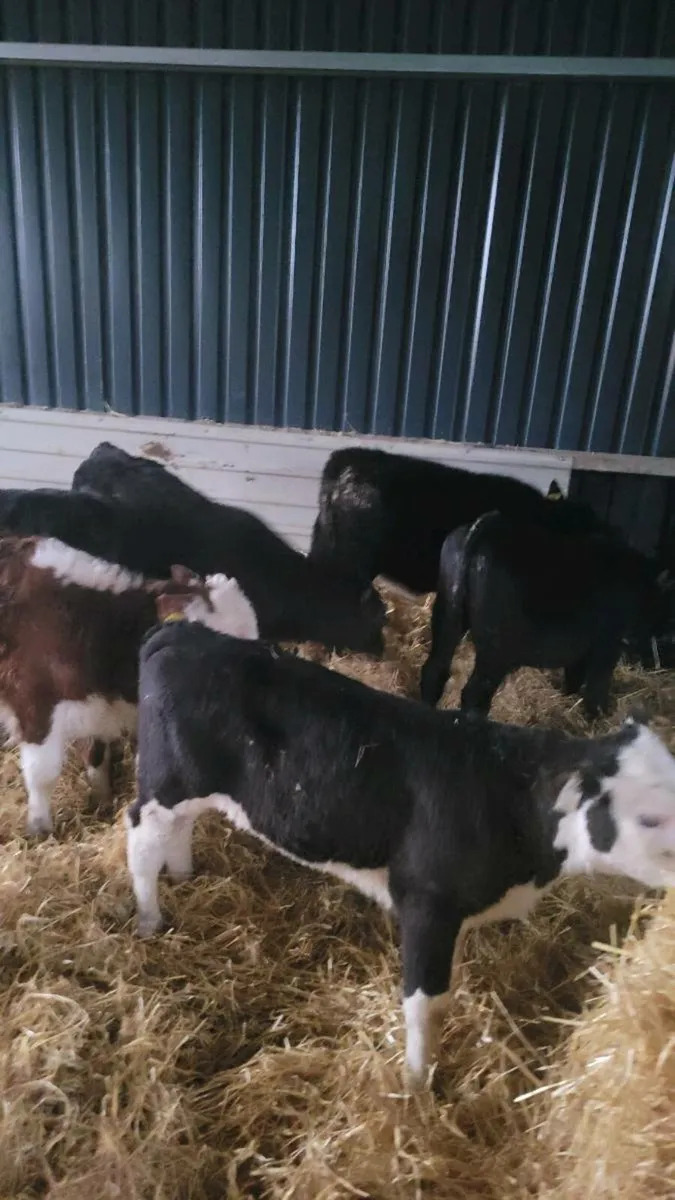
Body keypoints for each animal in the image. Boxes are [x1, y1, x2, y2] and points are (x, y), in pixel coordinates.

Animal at [127, 619, 675, 1089]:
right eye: (649, 818)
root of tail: (179, 631)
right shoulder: (426, 902)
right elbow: (424, 1005)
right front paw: (416, 1083)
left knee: (177, 829)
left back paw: (183, 874)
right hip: (167, 782)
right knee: (139, 837)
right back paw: (150, 918)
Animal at [419, 512, 673, 717]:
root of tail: (488, 525)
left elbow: (575, 675)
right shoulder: (609, 644)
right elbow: (597, 684)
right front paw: (597, 716)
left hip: (447, 618)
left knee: (434, 671)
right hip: (495, 649)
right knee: (474, 692)